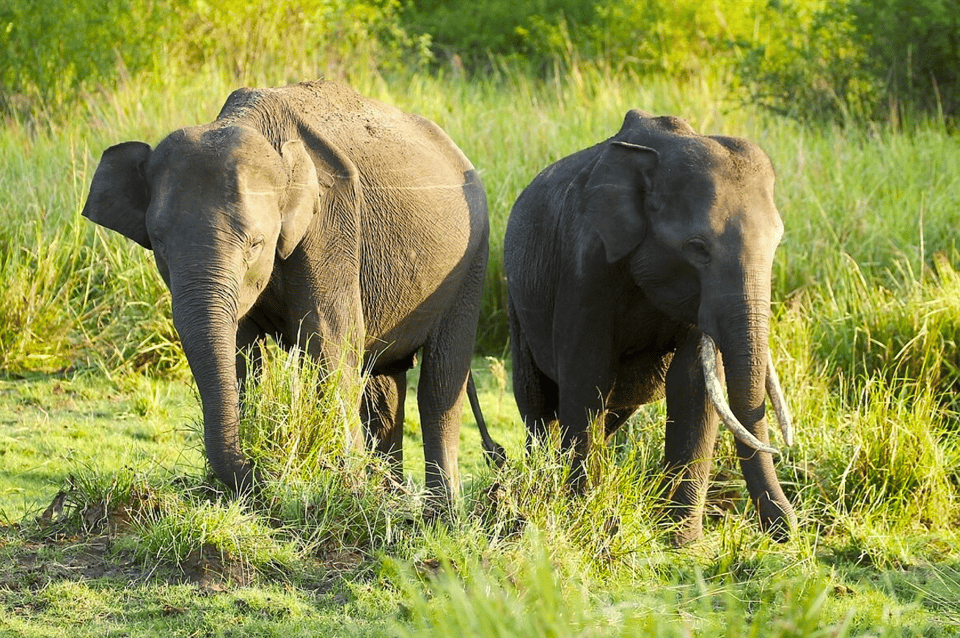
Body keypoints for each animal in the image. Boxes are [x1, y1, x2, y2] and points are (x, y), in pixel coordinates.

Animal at [81, 80, 502, 504]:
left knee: (439, 385)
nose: (264, 477)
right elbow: (242, 353)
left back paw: (440, 509)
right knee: (385, 385)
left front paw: (347, 490)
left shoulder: (332, 224)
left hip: (471, 262)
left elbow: (330, 341)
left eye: (255, 244)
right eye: (159, 244)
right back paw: (392, 496)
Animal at [506, 110, 800, 544]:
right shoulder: (584, 268)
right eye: (698, 248)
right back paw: (540, 482)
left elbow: (693, 384)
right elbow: (587, 375)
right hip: (516, 301)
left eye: (777, 243)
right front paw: (581, 518)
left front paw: (683, 544)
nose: (787, 530)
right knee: (537, 403)